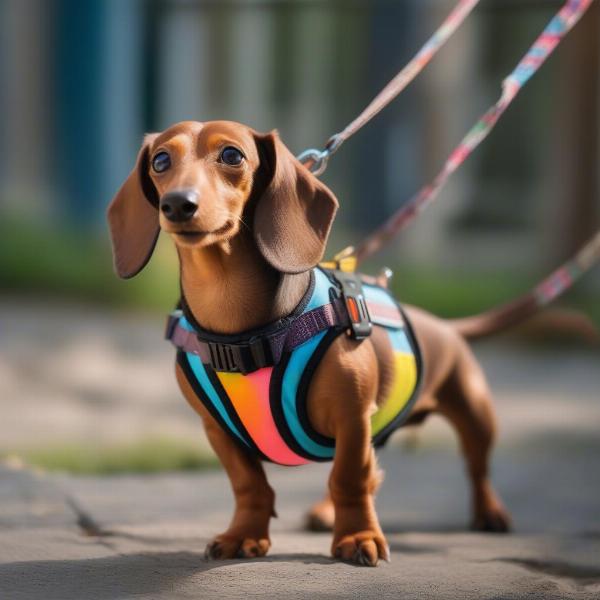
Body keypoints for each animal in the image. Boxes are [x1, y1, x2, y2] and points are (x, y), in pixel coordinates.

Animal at [108, 119, 510, 564]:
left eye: (231, 155)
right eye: (161, 161)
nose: (178, 204)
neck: (239, 331)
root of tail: (447, 326)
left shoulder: (352, 417)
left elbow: (350, 478)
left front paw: (357, 537)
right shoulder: (217, 429)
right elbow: (249, 484)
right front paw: (244, 534)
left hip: (474, 413)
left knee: (476, 467)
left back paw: (489, 512)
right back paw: (323, 512)